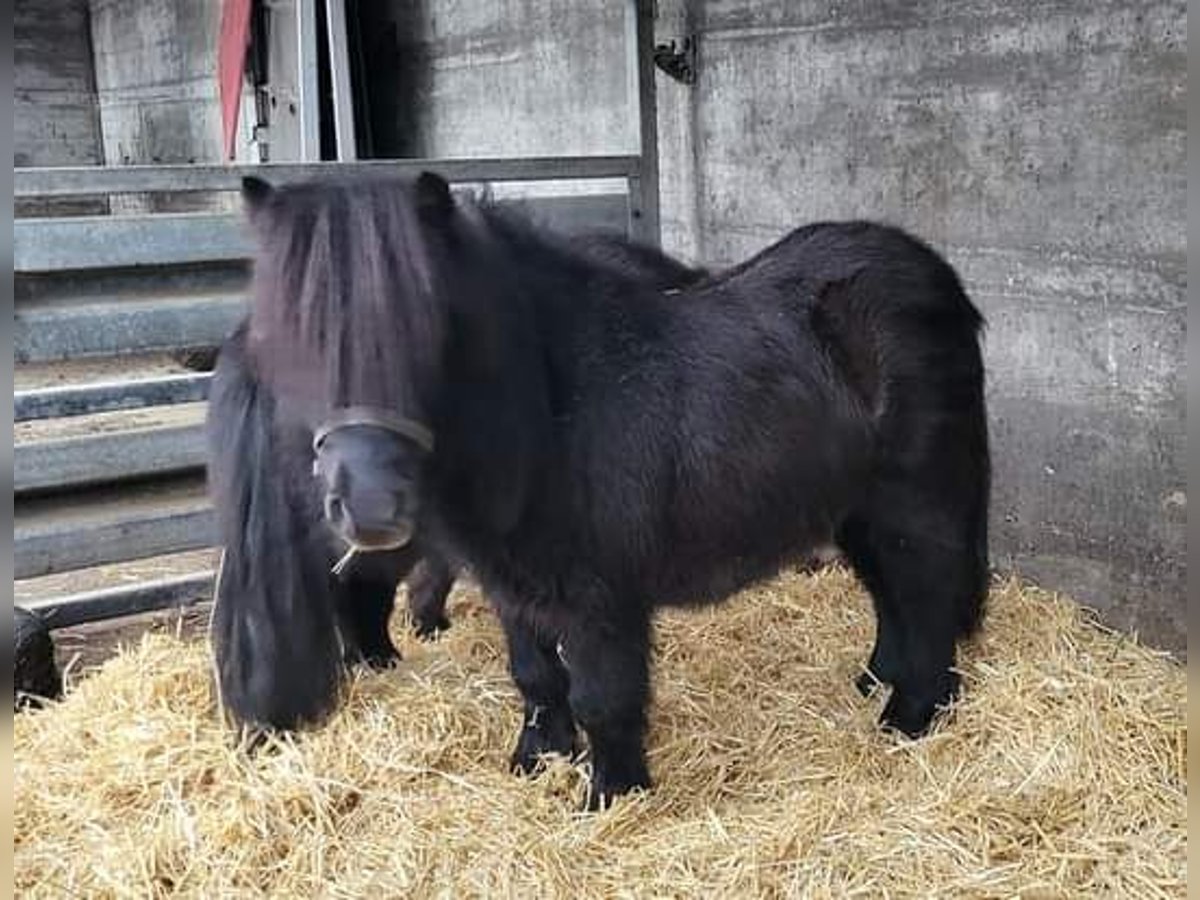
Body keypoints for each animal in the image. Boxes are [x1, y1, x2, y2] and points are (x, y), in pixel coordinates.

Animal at [223, 172, 984, 806]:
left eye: (428, 330)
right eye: (291, 339)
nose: (371, 506)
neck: (554, 407)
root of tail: (935, 276)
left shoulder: (600, 597)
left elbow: (602, 697)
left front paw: (612, 795)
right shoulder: (513, 586)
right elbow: (535, 677)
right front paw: (537, 759)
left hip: (913, 502)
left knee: (927, 595)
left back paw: (911, 716)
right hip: (858, 509)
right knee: (890, 594)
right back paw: (878, 681)